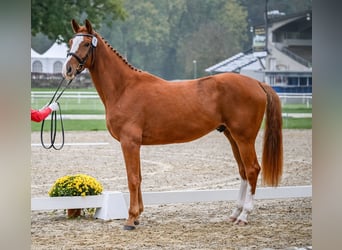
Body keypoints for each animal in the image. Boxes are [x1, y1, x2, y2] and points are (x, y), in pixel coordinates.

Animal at [62, 19, 282, 230]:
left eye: (86, 43)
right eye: (70, 42)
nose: (68, 69)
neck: (124, 88)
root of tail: (257, 83)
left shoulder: (129, 143)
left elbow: (132, 179)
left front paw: (130, 219)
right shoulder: (135, 144)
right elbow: (139, 177)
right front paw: (138, 216)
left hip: (244, 138)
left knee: (252, 169)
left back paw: (244, 216)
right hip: (232, 136)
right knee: (243, 171)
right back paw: (235, 214)